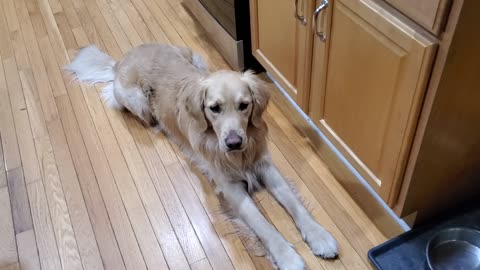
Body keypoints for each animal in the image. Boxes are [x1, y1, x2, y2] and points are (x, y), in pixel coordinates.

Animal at [65, 43, 338, 268]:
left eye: (244, 105)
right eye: (214, 108)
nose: (234, 143)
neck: (237, 155)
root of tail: (121, 60)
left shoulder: (264, 164)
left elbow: (294, 202)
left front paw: (319, 235)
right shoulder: (230, 188)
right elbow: (262, 223)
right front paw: (287, 256)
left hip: (195, 58)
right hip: (137, 101)